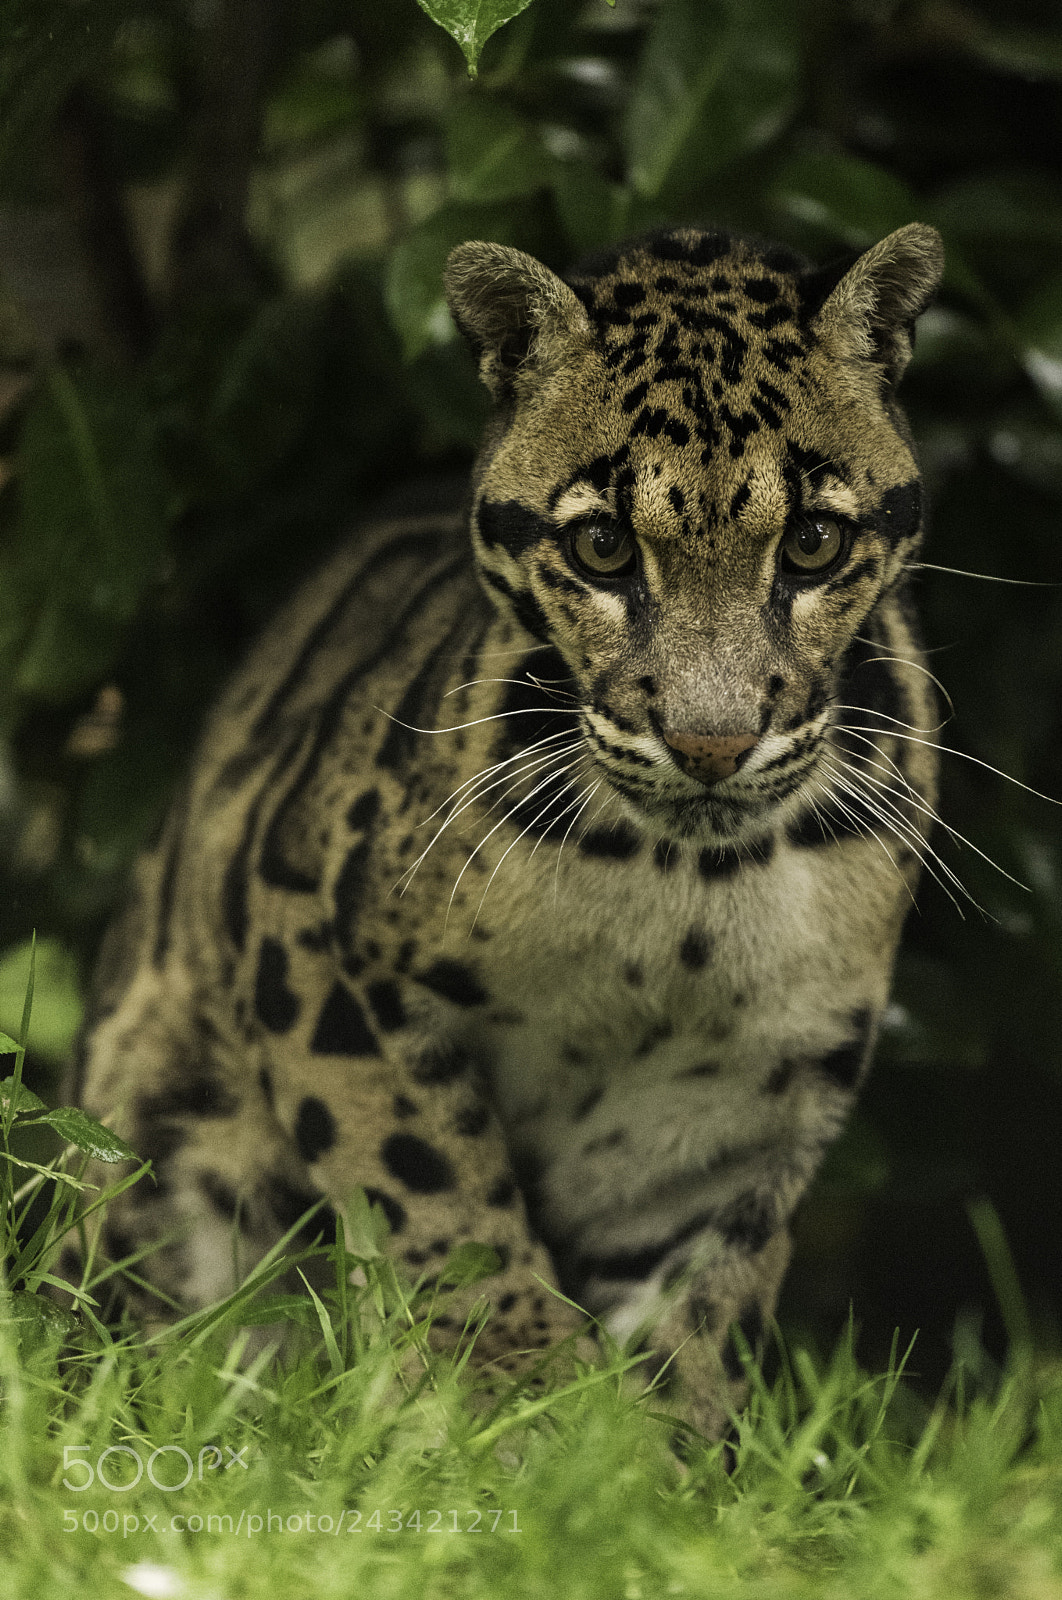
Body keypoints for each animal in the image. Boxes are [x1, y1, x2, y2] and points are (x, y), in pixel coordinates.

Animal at [67, 220, 945, 1440]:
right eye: (603, 549)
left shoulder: (743, 1093)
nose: (711, 742)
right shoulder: (313, 945)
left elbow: (698, 1300)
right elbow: (437, 1191)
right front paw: (520, 1404)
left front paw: (655, 1456)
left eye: (813, 543)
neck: (685, 891)